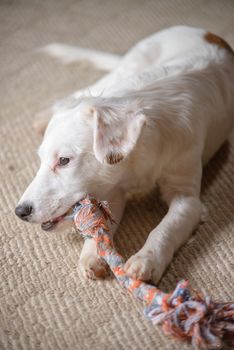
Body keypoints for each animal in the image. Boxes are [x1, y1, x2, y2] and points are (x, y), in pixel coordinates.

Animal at [15, 25, 234, 282]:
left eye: (64, 160)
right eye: (40, 160)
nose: (20, 212)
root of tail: (202, 31)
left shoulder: (188, 197)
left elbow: (166, 228)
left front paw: (146, 260)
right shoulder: (112, 188)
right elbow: (102, 224)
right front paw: (94, 253)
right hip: (127, 66)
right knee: (77, 93)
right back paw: (44, 116)